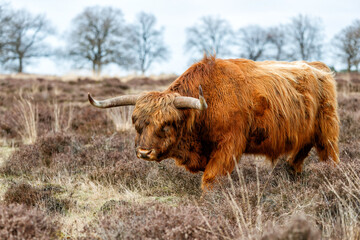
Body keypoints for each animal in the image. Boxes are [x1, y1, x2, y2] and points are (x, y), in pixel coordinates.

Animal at [88, 56, 338, 189]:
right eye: (137, 123)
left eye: (166, 124)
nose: (143, 152)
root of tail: (318, 67)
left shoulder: (229, 145)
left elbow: (210, 178)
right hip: (305, 134)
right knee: (298, 155)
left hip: (327, 131)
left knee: (329, 155)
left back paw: (332, 175)